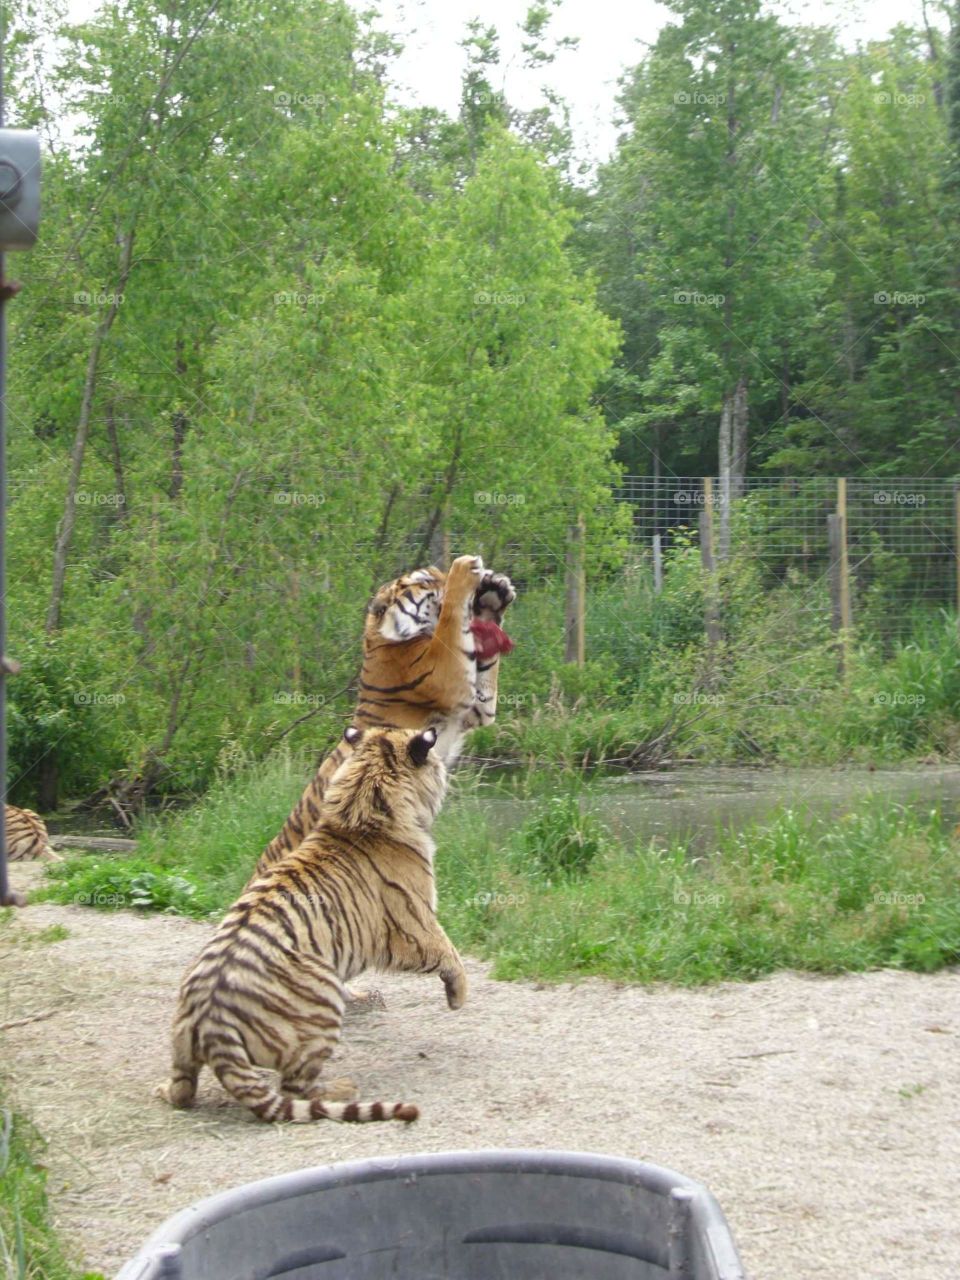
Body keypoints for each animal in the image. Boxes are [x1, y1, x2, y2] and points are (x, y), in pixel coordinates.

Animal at [158, 723, 464, 1124]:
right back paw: (342, 1088)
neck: (359, 808)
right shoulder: (413, 925)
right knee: (297, 1089)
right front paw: (459, 996)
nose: (447, 767)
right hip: (325, 997)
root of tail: (214, 1030)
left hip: (181, 1034)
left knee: (183, 1088)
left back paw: (164, 1089)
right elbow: (449, 952)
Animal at [251, 552, 515, 882]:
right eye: (426, 580)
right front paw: (465, 569)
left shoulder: (475, 708)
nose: (482, 581)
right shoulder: (446, 672)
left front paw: (495, 592)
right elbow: (452, 619)